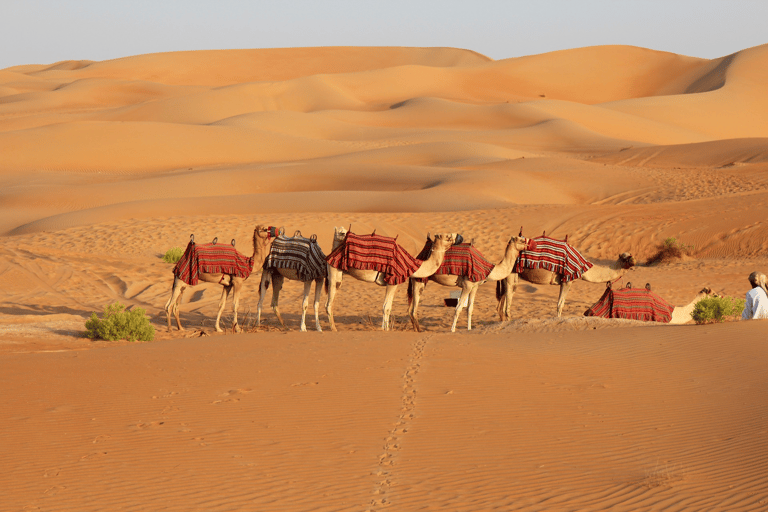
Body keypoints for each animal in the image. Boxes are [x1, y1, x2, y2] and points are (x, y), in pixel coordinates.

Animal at [326, 228, 460, 332]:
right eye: (448, 236)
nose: (459, 236)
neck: (411, 265)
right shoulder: (393, 280)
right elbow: (386, 307)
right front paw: (386, 330)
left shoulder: (393, 281)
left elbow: (388, 307)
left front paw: (385, 328)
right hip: (334, 270)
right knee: (328, 304)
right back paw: (333, 329)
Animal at [408, 235, 536, 332]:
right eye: (522, 240)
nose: (532, 244)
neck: (487, 268)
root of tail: (417, 256)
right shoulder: (467, 285)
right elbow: (458, 308)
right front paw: (452, 330)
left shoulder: (474, 286)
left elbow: (470, 308)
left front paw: (469, 329)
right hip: (420, 280)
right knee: (414, 309)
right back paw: (419, 330)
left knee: (410, 309)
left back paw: (415, 329)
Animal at [498, 235, 636, 320]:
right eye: (624, 258)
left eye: (631, 255)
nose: (634, 261)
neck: (583, 267)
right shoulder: (567, 279)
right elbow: (560, 304)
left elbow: (561, 303)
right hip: (511, 273)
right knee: (507, 304)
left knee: (502, 304)